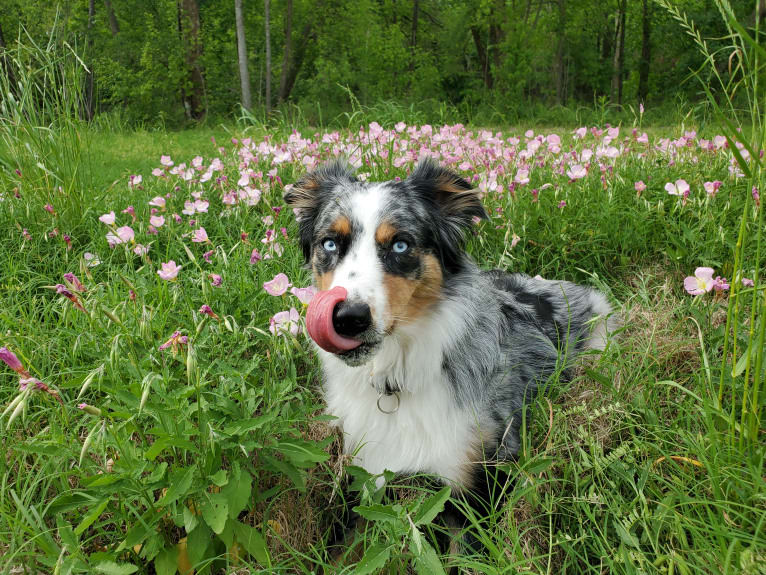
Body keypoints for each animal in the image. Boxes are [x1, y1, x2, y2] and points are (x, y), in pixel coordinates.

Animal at [286, 158, 616, 552]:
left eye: (401, 245)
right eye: (330, 243)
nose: (348, 318)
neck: (396, 377)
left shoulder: (472, 485)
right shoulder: (361, 476)